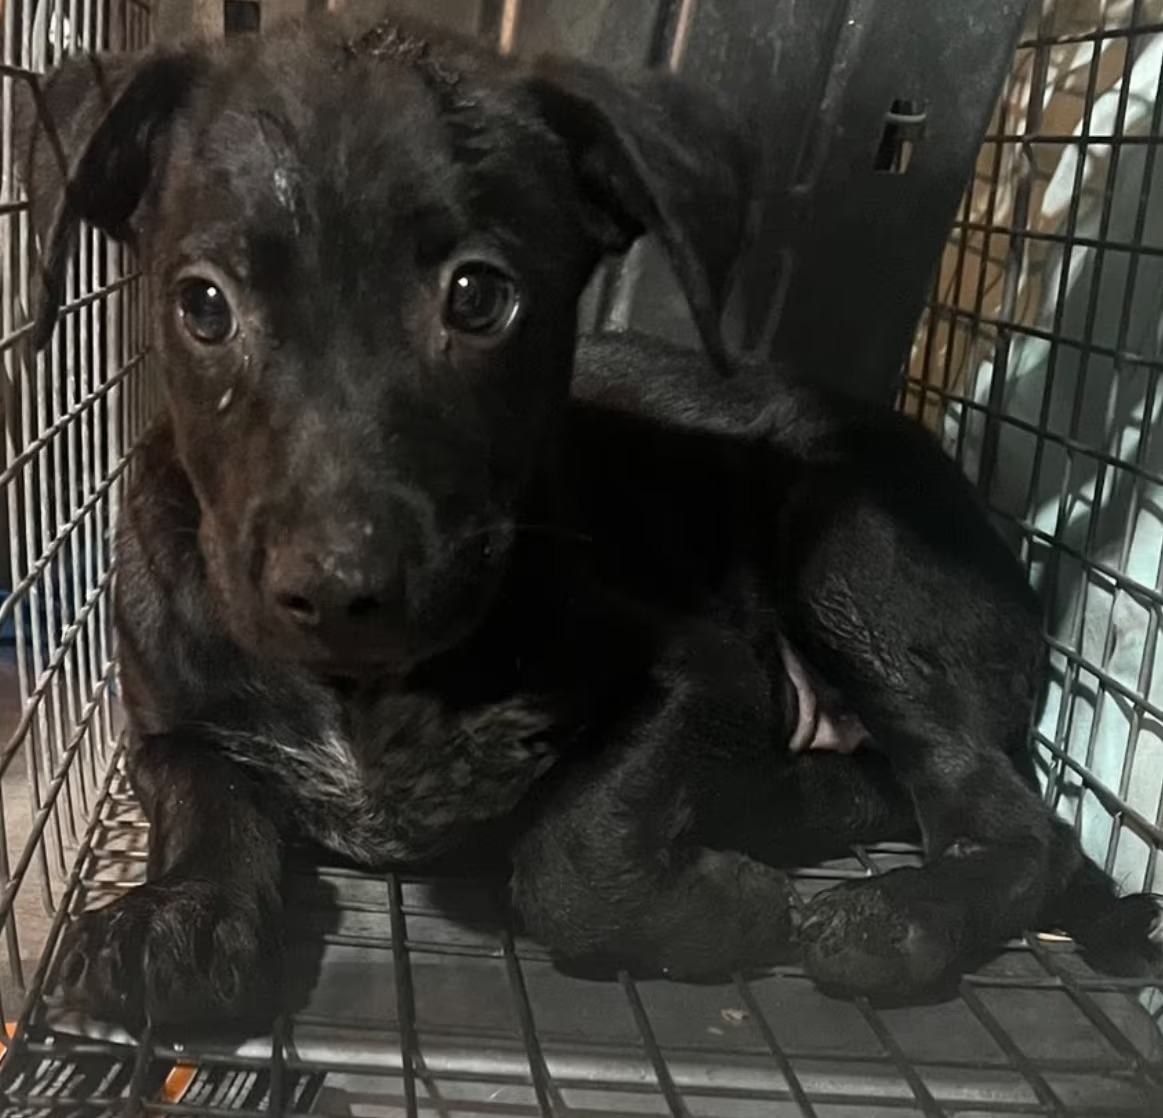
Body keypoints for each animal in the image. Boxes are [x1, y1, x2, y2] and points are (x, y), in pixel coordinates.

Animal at [18, 6, 1163, 1028]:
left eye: (479, 297)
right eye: (203, 304)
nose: (342, 590)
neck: (366, 695)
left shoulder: (704, 668)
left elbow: (569, 856)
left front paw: (722, 907)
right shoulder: (169, 721)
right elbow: (203, 801)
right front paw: (184, 916)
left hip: (855, 560)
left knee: (1017, 826)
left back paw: (897, 914)